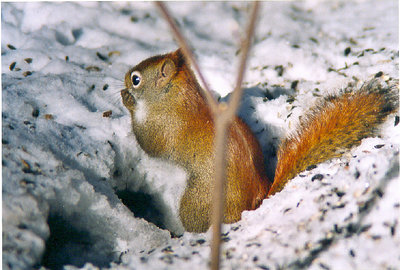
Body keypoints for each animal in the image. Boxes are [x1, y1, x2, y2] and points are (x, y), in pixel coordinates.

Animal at [120, 48, 398, 232]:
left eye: (136, 79)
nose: (124, 82)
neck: (177, 98)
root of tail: (255, 204)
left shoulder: (164, 127)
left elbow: (149, 144)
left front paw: (128, 101)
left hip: (196, 203)